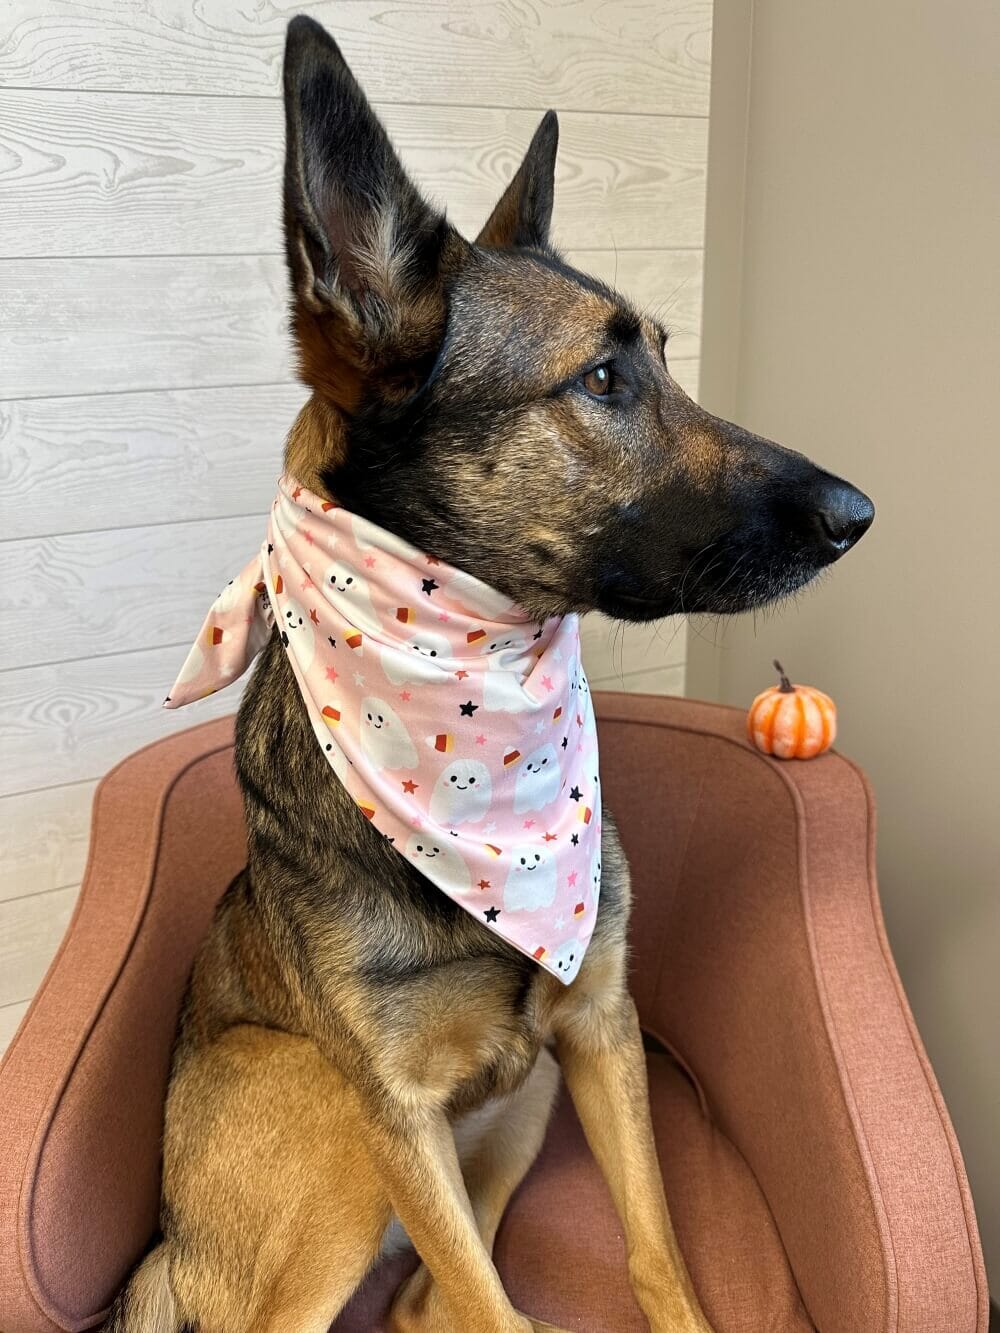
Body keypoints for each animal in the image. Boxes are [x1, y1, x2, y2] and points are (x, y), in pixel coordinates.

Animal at [100, 12, 869, 1333]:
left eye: (665, 359)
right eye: (602, 380)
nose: (857, 514)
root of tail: (168, 1245)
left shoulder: (601, 1030)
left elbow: (656, 1255)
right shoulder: (395, 1117)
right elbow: (487, 1293)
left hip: (525, 1099)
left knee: (429, 1306)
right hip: (327, 1122)